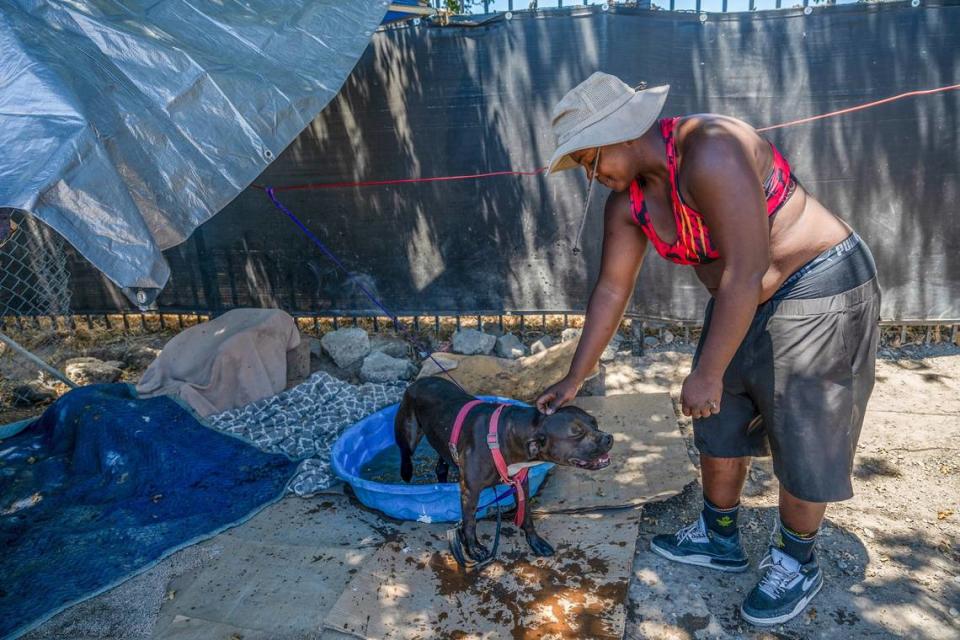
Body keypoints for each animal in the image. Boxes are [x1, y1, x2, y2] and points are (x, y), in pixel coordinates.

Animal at [394, 378, 612, 564]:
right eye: (577, 434)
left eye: (594, 423)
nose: (609, 438)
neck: (505, 434)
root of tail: (420, 380)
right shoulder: (470, 492)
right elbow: (470, 522)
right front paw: (474, 549)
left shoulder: (521, 483)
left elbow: (527, 516)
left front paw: (535, 542)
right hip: (408, 433)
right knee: (405, 453)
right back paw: (406, 472)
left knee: (441, 464)